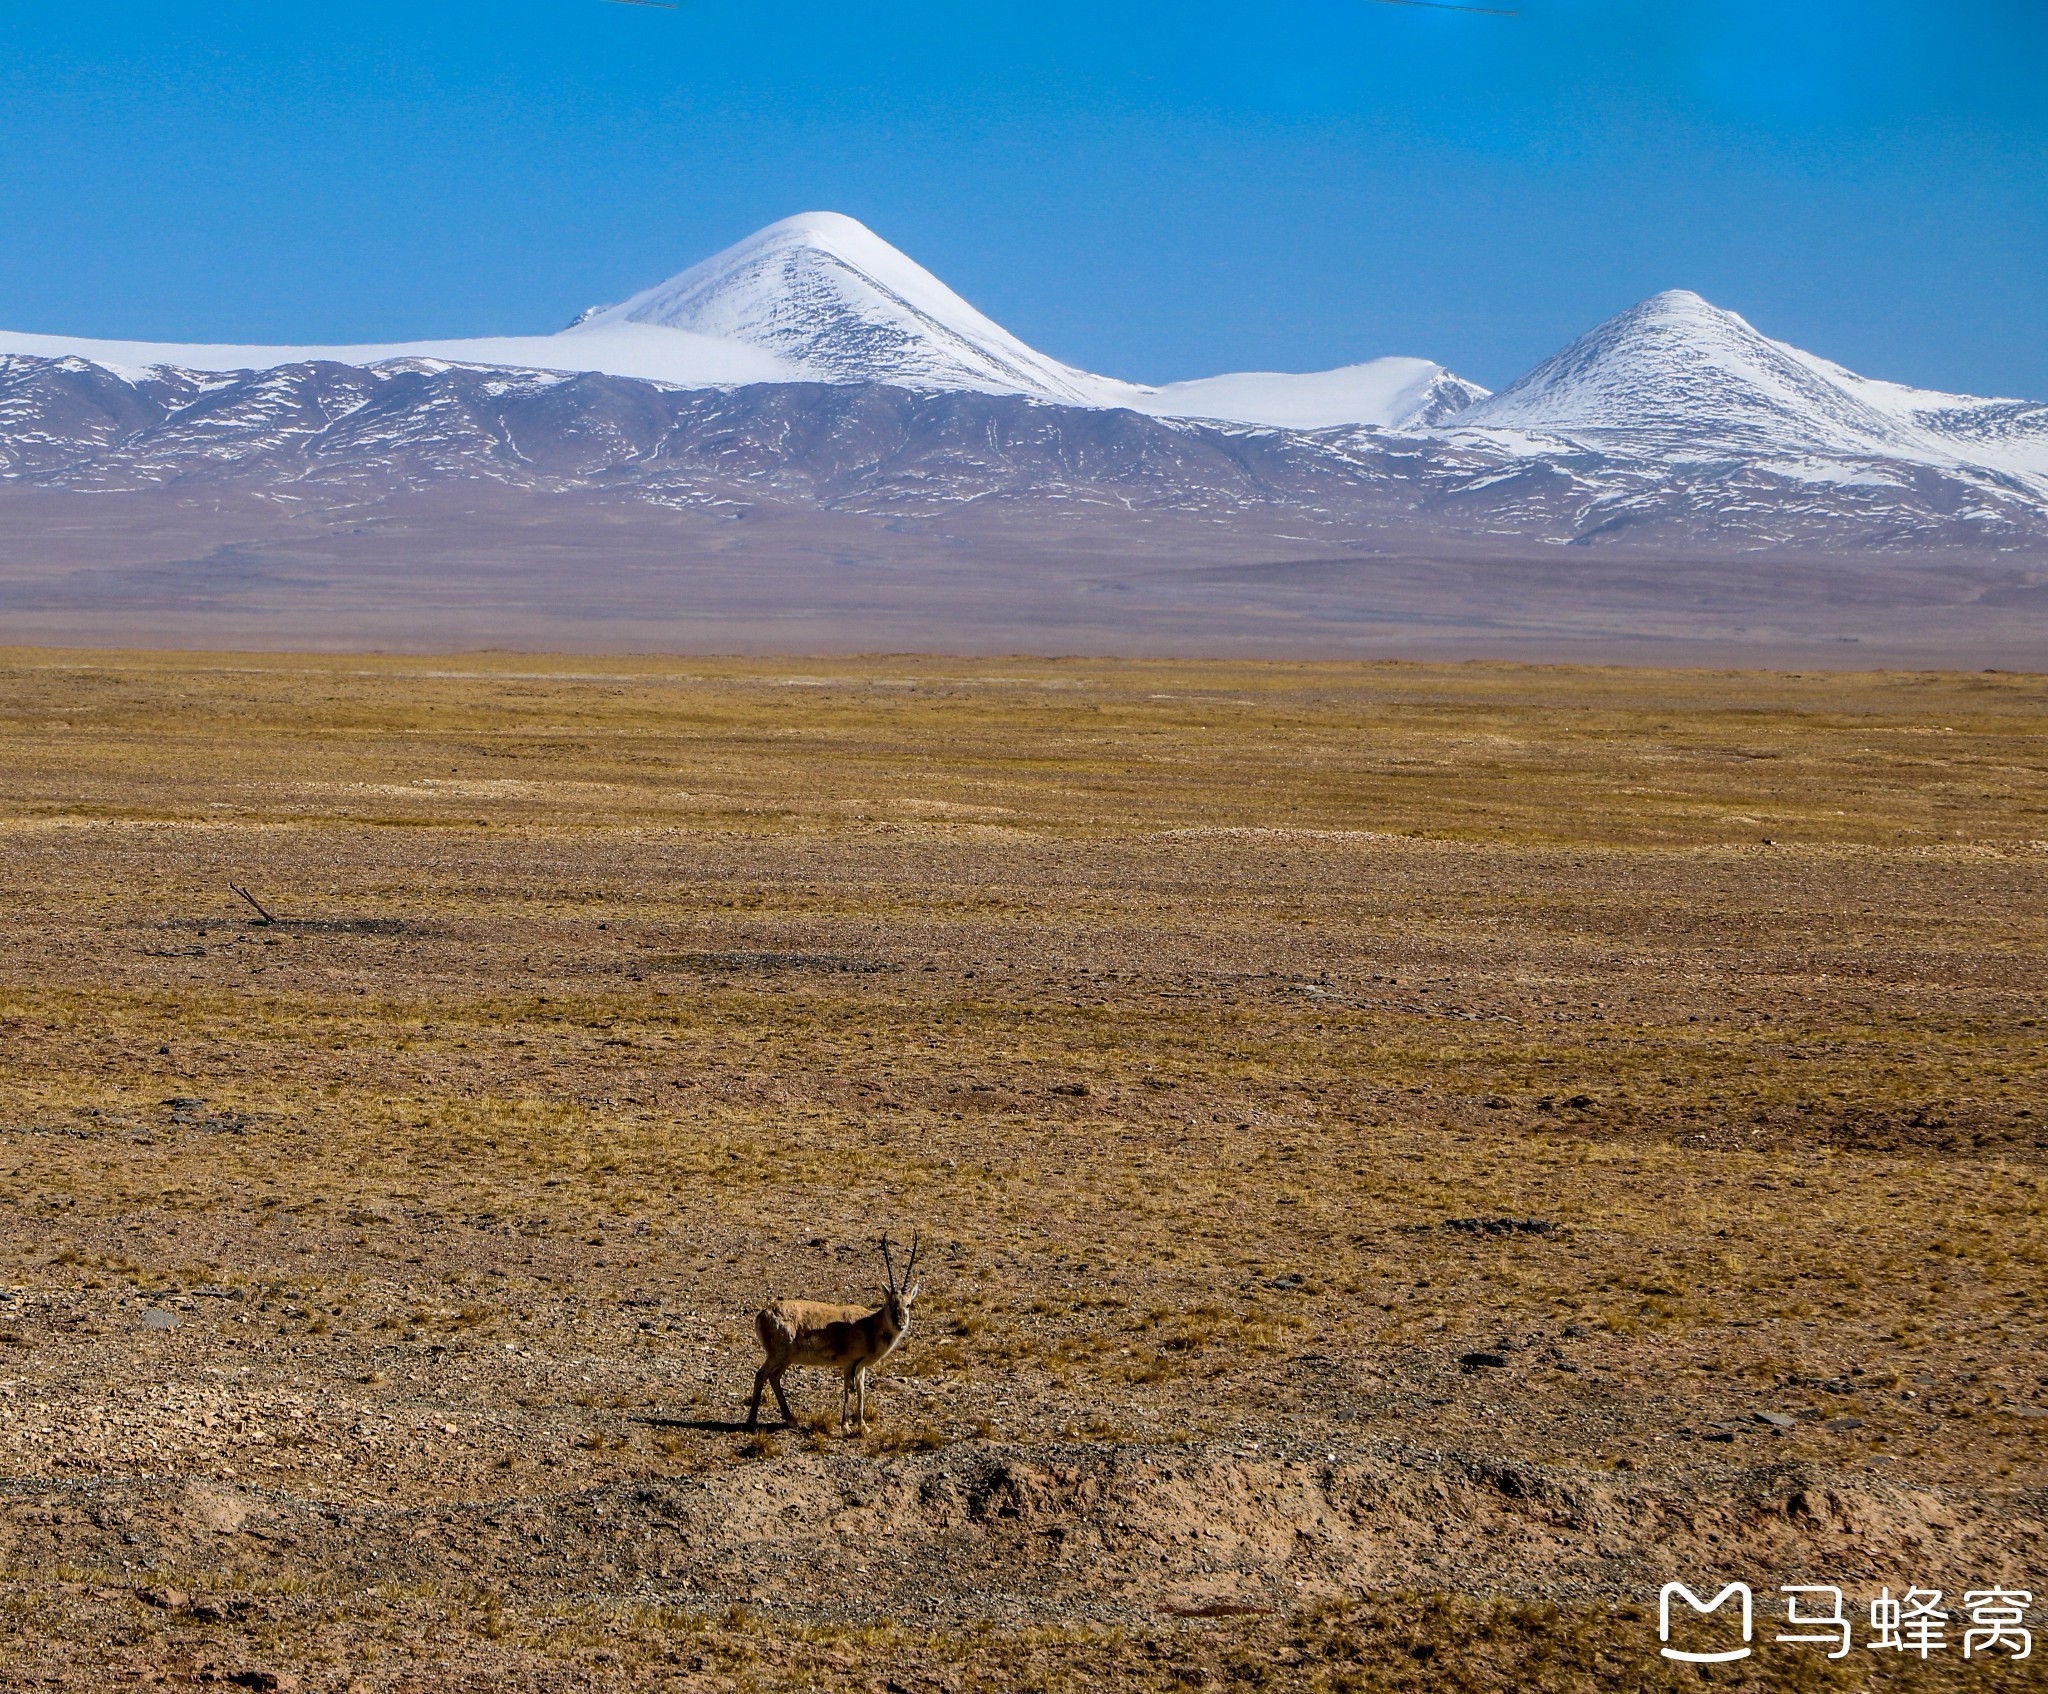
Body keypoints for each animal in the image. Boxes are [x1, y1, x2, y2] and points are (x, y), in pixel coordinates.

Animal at [745, 1229, 921, 1433]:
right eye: (890, 1304)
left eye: (908, 1304)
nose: (900, 1323)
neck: (868, 1324)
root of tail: (763, 1313)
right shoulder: (849, 1363)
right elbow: (848, 1390)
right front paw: (846, 1426)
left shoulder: (860, 1367)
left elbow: (861, 1391)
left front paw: (863, 1426)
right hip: (777, 1355)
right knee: (761, 1375)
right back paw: (751, 1422)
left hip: (787, 1359)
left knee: (774, 1377)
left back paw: (791, 1420)